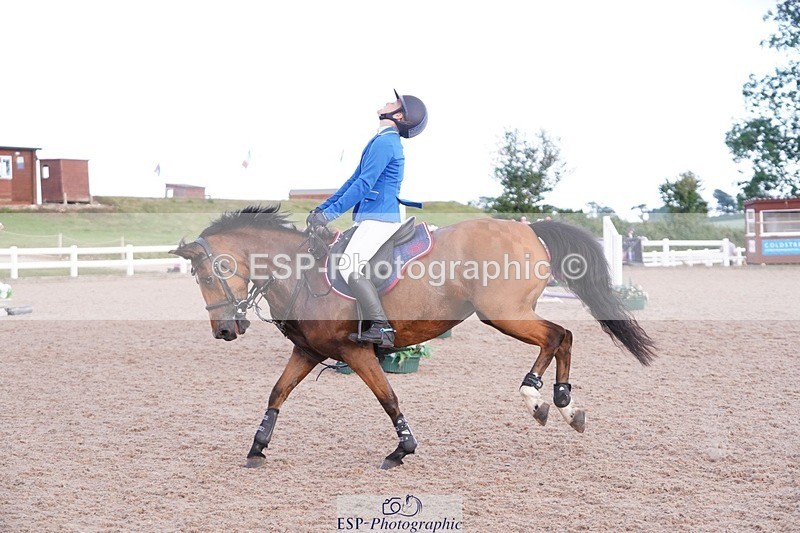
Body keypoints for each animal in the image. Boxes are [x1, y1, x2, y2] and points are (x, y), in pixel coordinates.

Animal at [170, 205, 655, 469]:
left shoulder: (356, 351)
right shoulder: (307, 351)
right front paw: (257, 447)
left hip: (503, 313)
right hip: (509, 313)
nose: (224, 331)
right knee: (563, 337)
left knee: (557, 335)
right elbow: (277, 393)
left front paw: (402, 449)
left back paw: (537, 397)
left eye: (208, 275)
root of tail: (527, 227)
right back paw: (565, 404)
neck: (300, 273)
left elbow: (388, 398)